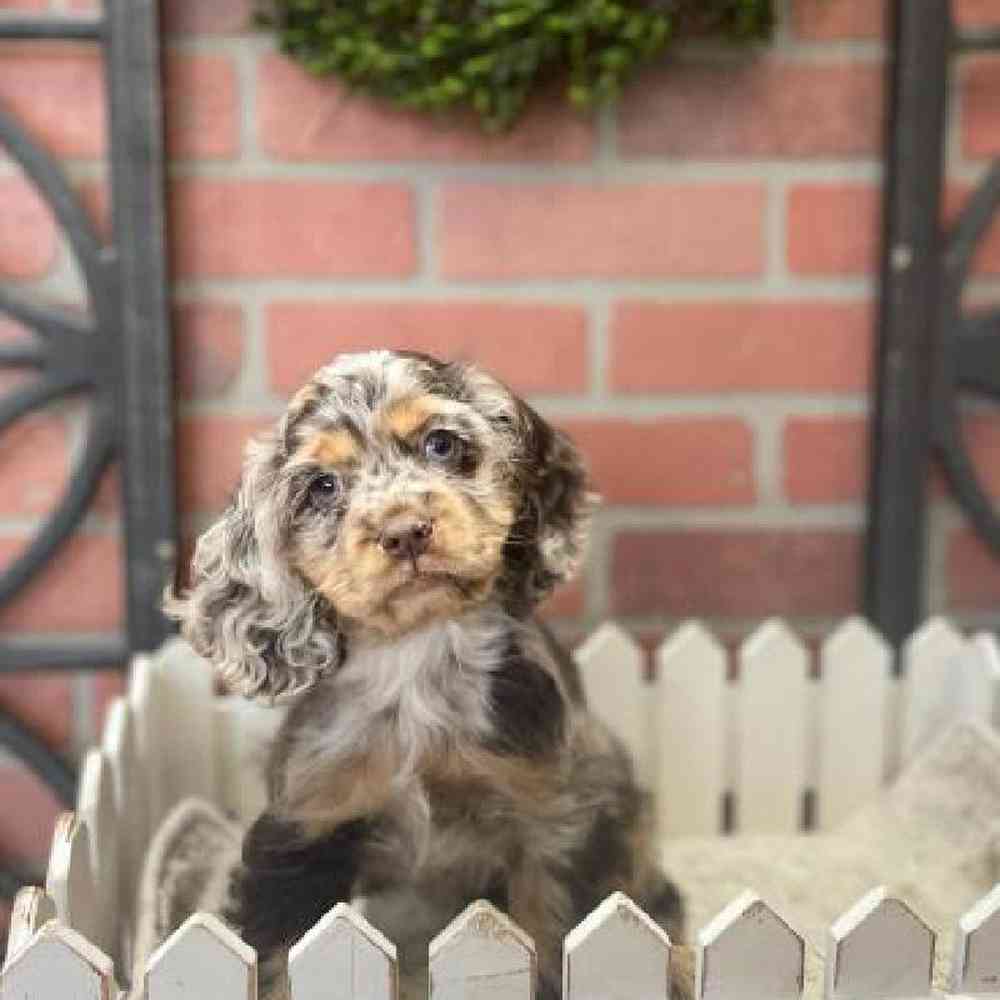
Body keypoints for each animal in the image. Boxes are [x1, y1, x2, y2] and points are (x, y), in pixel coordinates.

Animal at [172, 348, 688, 996]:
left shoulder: (554, 821)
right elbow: (275, 957)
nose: (404, 532)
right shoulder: (306, 827)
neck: (416, 659)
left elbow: (553, 941)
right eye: (322, 486)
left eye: (440, 444)